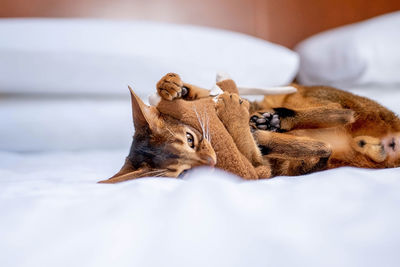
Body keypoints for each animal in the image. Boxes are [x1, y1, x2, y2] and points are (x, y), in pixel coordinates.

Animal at [98, 72, 398, 183]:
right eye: (181, 171)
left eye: (189, 138)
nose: (209, 160)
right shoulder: (261, 168)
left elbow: (208, 94)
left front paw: (171, 86)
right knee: (325, 142)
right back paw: (268, 125)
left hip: (315, 96)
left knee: (342, 113)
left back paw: (273, 120)